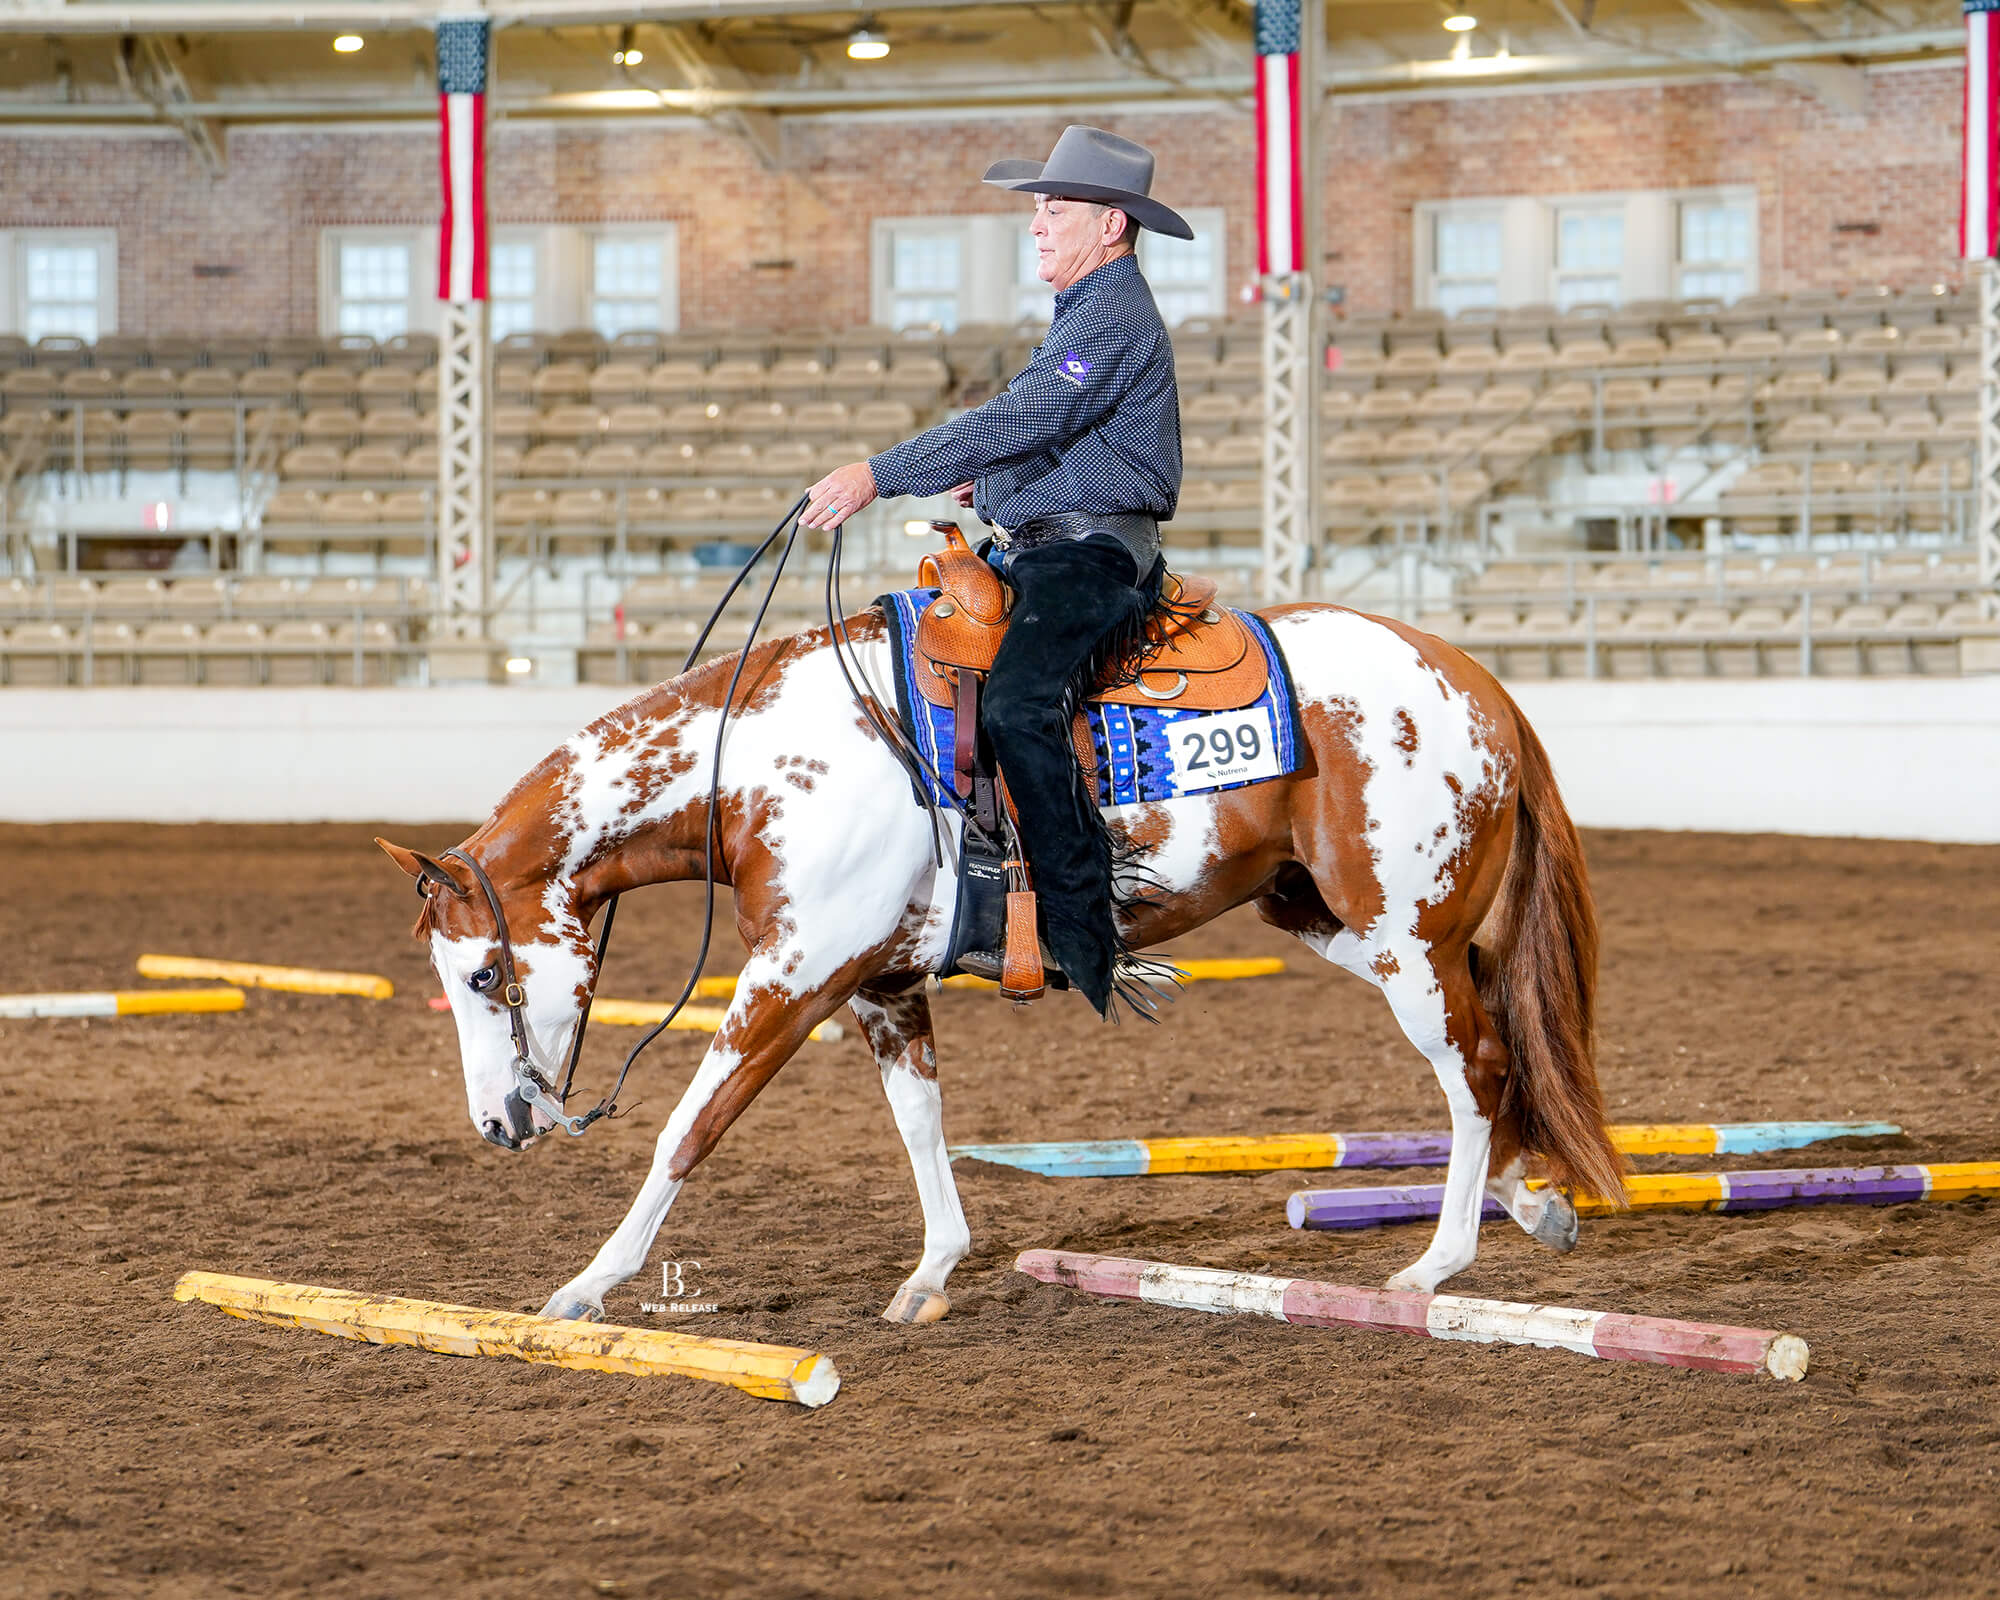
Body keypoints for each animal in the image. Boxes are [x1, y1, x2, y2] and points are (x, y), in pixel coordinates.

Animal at [377, 597, 1626, 1326]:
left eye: (484, 977)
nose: (499, 1123)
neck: (765, 763)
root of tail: (1481, 683)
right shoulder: (879, 986)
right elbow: (919, 1124)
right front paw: (933, 1271)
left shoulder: (791, 979)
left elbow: (692, 1126)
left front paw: (588, 1284)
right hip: (1337, 921)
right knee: (1499, 1051)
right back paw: (1533, 1205)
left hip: (1404, 934)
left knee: (1472, 1068)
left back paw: (1439, 1263)